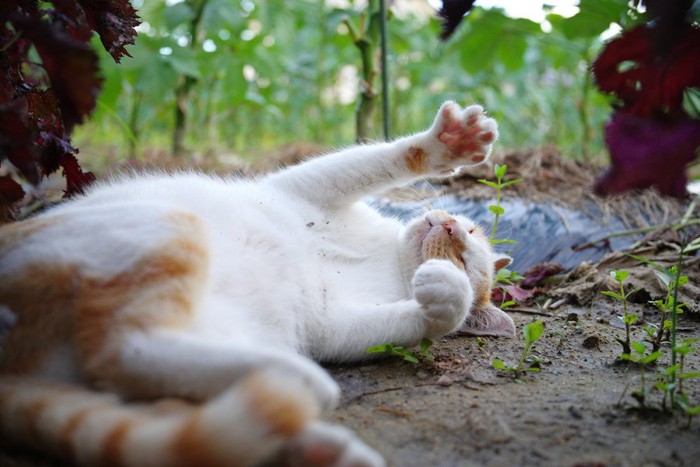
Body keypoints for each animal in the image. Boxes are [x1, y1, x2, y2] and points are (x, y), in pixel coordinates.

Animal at [0, 102, 516, 467]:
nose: (449, 225)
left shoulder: (334, 327)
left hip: (174, 246)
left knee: (124, 358)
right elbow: (383, 158)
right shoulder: (308, 187)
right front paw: (451, 142)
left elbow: (423, 318)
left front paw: (446, 293)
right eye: (471, 233)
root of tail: (16, 368)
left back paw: (308, 417)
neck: (386, 260)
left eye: (464, 257)